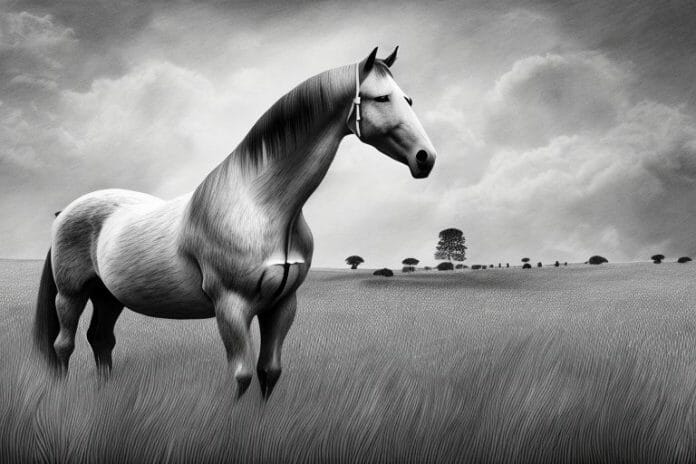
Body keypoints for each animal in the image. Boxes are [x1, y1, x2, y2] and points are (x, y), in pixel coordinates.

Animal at [33, 46, 437, 399]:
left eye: (409, 99)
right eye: (381, 98)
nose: (426, 158)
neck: (259, 207)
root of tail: (65, 212)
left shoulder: (282, 305)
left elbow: (269, 371)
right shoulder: (231, 306)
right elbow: (242, 375)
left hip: (108, 296)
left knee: (101, 339)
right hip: (72, 294)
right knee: (64, 344)